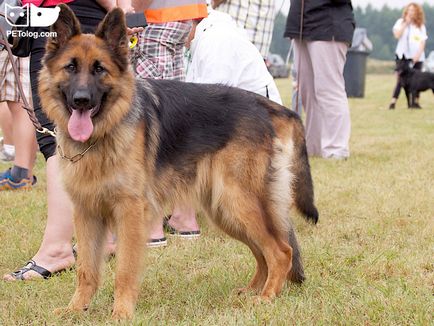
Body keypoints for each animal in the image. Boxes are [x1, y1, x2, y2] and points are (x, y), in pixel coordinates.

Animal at [39, 5, 318, 320]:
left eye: (100, 69)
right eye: (71, 67)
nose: (81, 100)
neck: (103, 135)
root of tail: (264, 105)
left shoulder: (129, 214)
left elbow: (124, 270)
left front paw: (121, 313)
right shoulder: (86, 214)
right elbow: (86, 270)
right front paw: (76, 309)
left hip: (237, 203)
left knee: (280, 251)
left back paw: (267, 297)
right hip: (225, 211)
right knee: (263, 252)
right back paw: (252, 291)